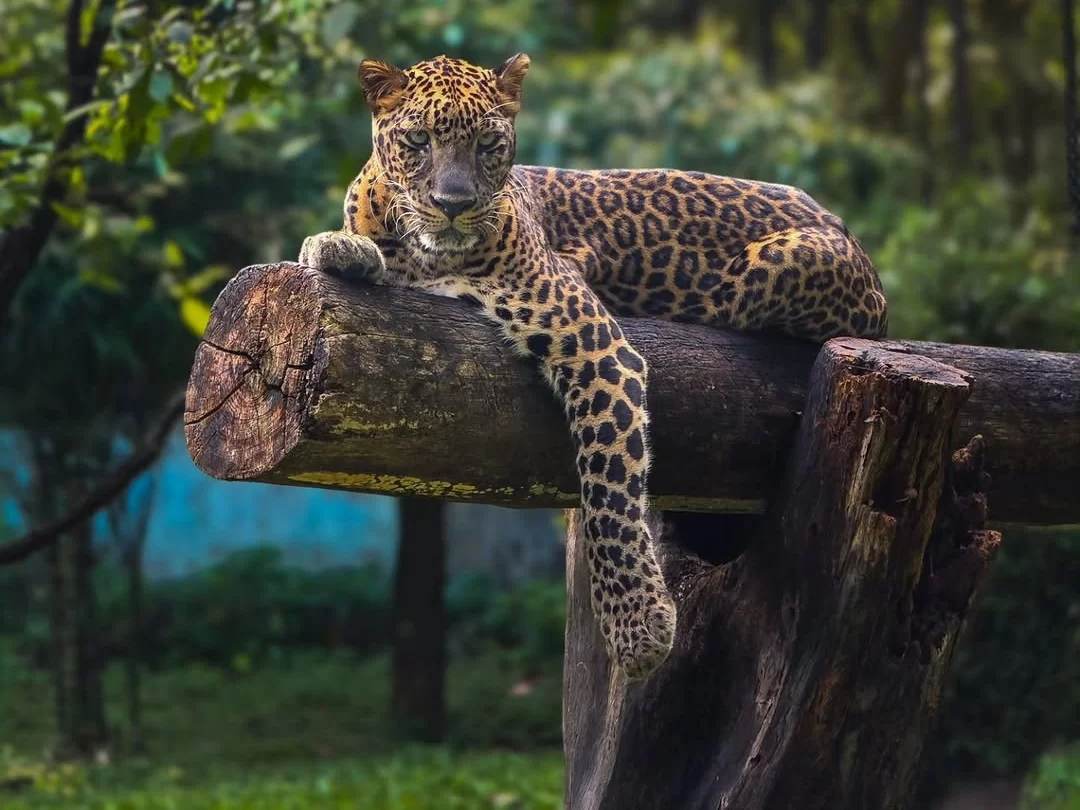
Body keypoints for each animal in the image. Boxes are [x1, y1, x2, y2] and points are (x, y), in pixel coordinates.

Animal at [298, 53, 888, 681]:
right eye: (418, 141)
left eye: (488, 144)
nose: (454, 204)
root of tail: (842, 225)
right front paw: (338, 248)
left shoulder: (594, 342)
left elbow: (609, 487)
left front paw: (639, 626)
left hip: (767, 273)